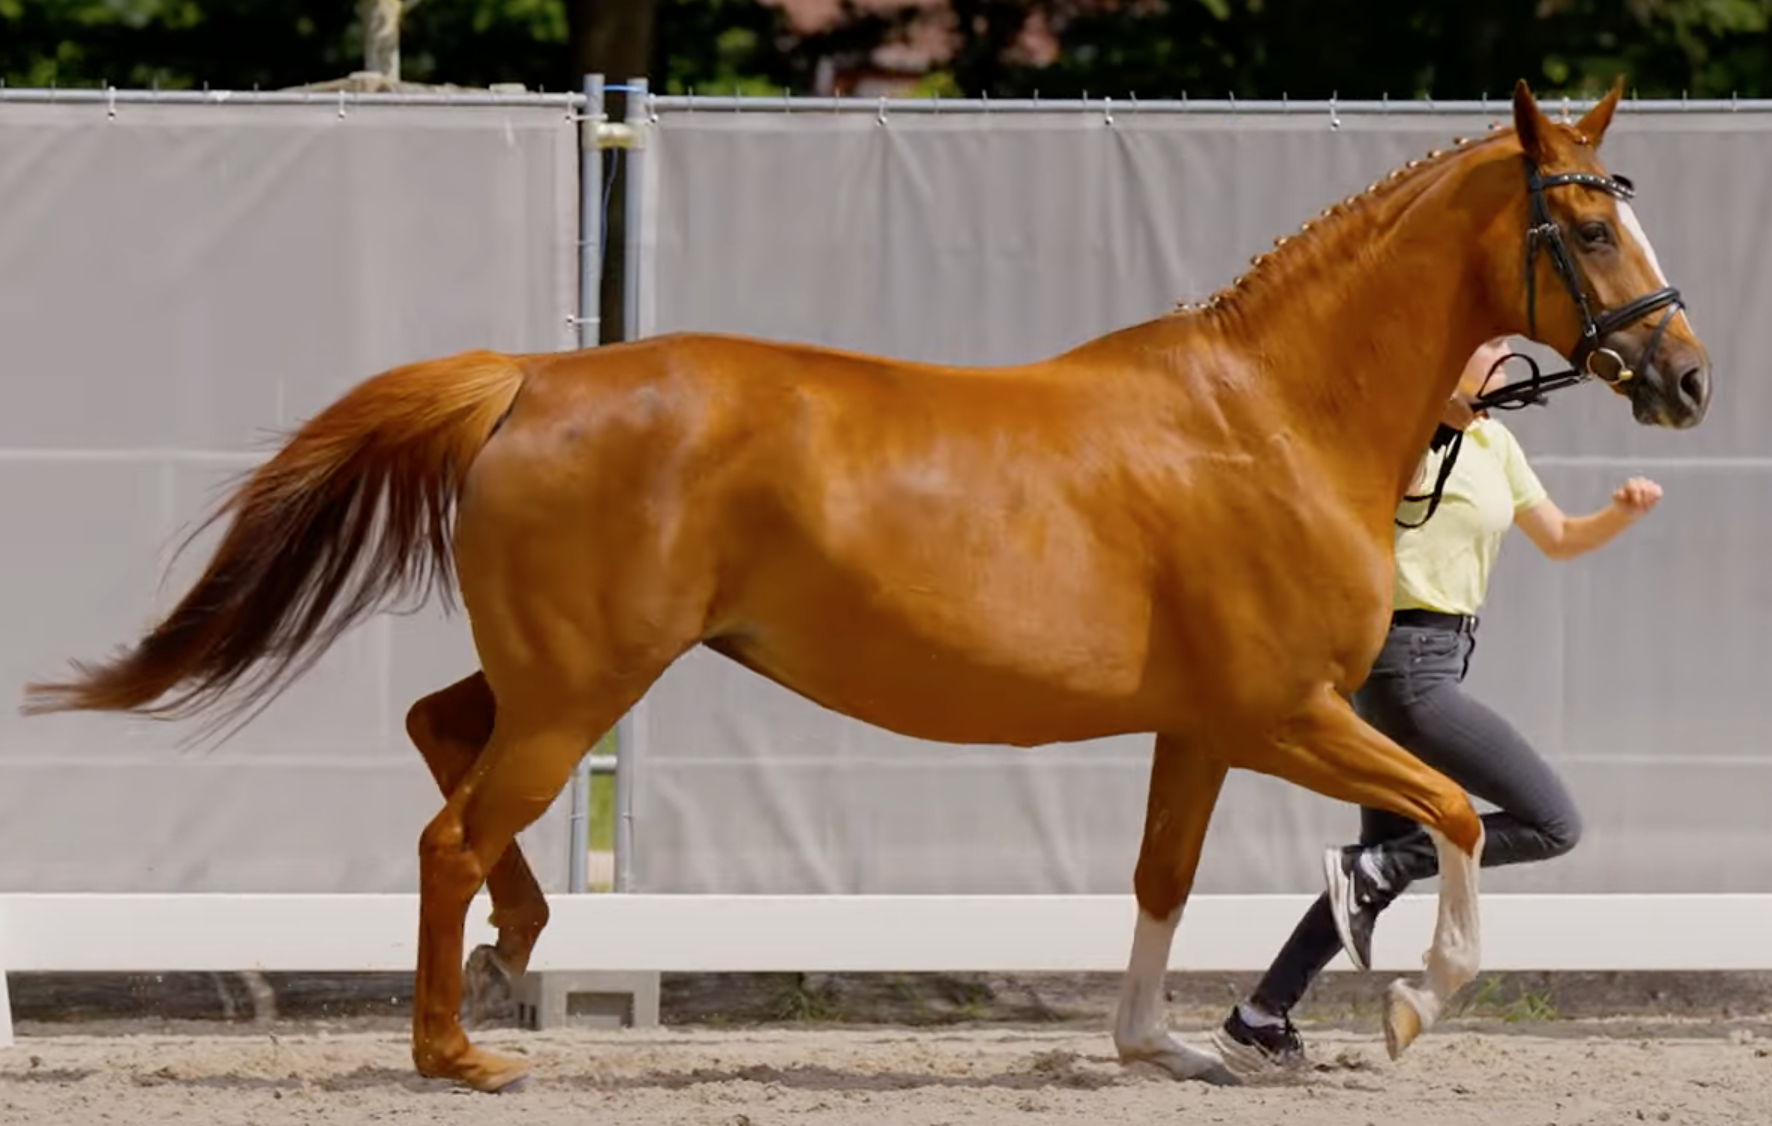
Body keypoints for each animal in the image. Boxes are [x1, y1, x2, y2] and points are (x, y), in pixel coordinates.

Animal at [20, 77, 1709, 1091]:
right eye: (1585, 218)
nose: (1686, 376)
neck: (1271, 415)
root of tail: (533, 378)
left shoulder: (1200, 725)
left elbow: (1164, 876)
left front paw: (1164, 1045)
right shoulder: (1284, 709)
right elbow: (1456, 812)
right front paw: (1417, 998)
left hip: (551, 673)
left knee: (442, 736)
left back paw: (518, 943)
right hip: (582, 687)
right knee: (451, 826)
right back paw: (461, 1049)